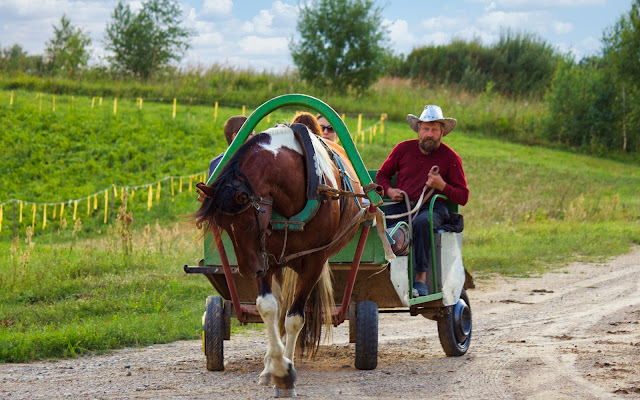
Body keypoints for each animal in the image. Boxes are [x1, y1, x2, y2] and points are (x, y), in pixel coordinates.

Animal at [194, 124, 364, 396]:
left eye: (247, 222)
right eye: (222, 226)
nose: (247, 271)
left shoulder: (314, 261)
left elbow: (294, 318)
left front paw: (286, 374)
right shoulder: (266, 258)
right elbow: (268, 308)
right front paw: (275, 366)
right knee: (279, 308)